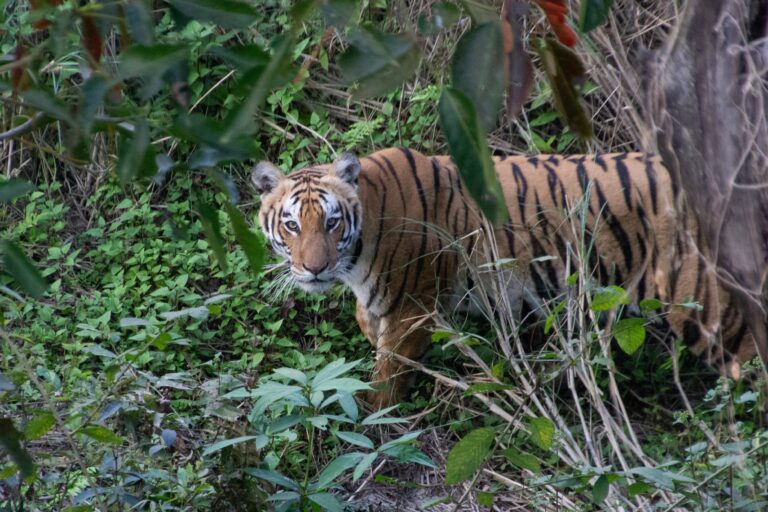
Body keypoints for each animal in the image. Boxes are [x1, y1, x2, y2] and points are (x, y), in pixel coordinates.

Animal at [251, 147, 759, 408]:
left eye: (332, 222)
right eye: (292, 224)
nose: (314, 268)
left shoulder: (414, 307)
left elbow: (386, 376)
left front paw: (375, 424)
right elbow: (368, 326)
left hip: (702, 300)